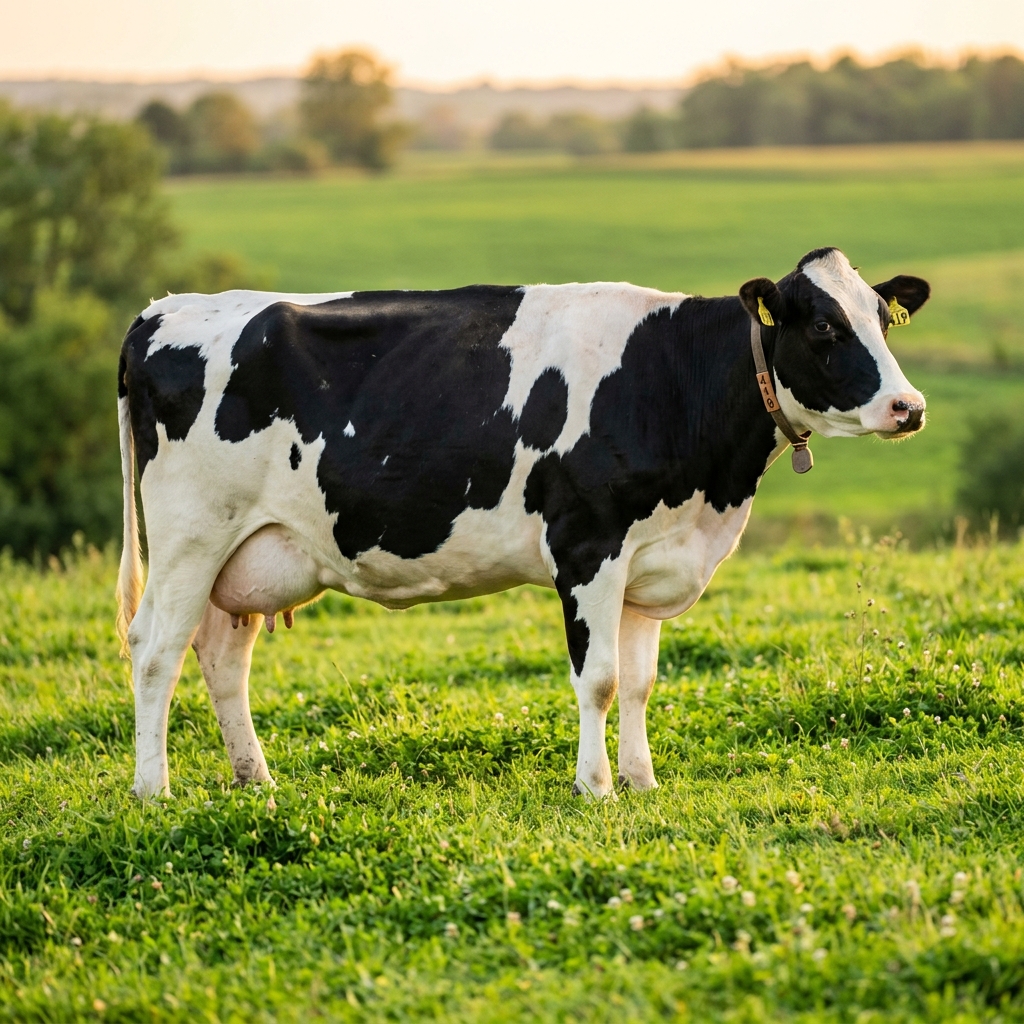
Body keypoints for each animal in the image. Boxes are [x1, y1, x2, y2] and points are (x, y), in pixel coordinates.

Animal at [116, 247, 929, 800]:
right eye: (823, 325)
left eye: (882, 319)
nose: (909, 406)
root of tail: (161, 310)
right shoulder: (588, 546)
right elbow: (599, 679)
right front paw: (595, 789)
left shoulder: (650, 557)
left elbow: (640, 682)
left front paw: (642, 781)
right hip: (192, 534)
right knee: (155, 648)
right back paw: (155, 790)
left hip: (249, 552)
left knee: (222, 654)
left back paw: (256, 779)